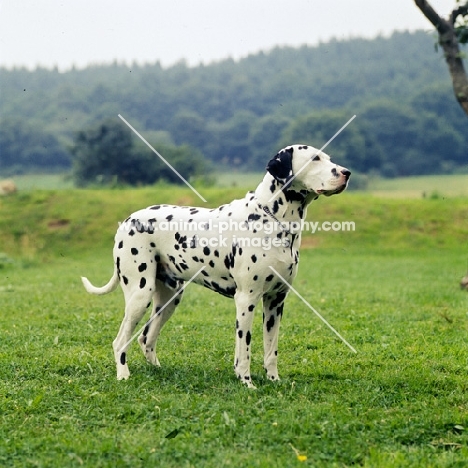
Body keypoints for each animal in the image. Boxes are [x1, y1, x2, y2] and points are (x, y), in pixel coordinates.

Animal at [81, 145, 352, 388]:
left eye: (329, 158)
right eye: (315, 159)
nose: (346, 172)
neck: (274, 221)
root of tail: (127, 221)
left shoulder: (276, 302)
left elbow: (270, 351)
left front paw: (274, 381)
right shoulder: (246, 300)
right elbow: (244, 351)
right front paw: (246, 383)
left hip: (169, 299)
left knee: (147, 338)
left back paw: (157, 370)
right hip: (140, 294)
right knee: (120, 342)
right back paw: (123, 375)